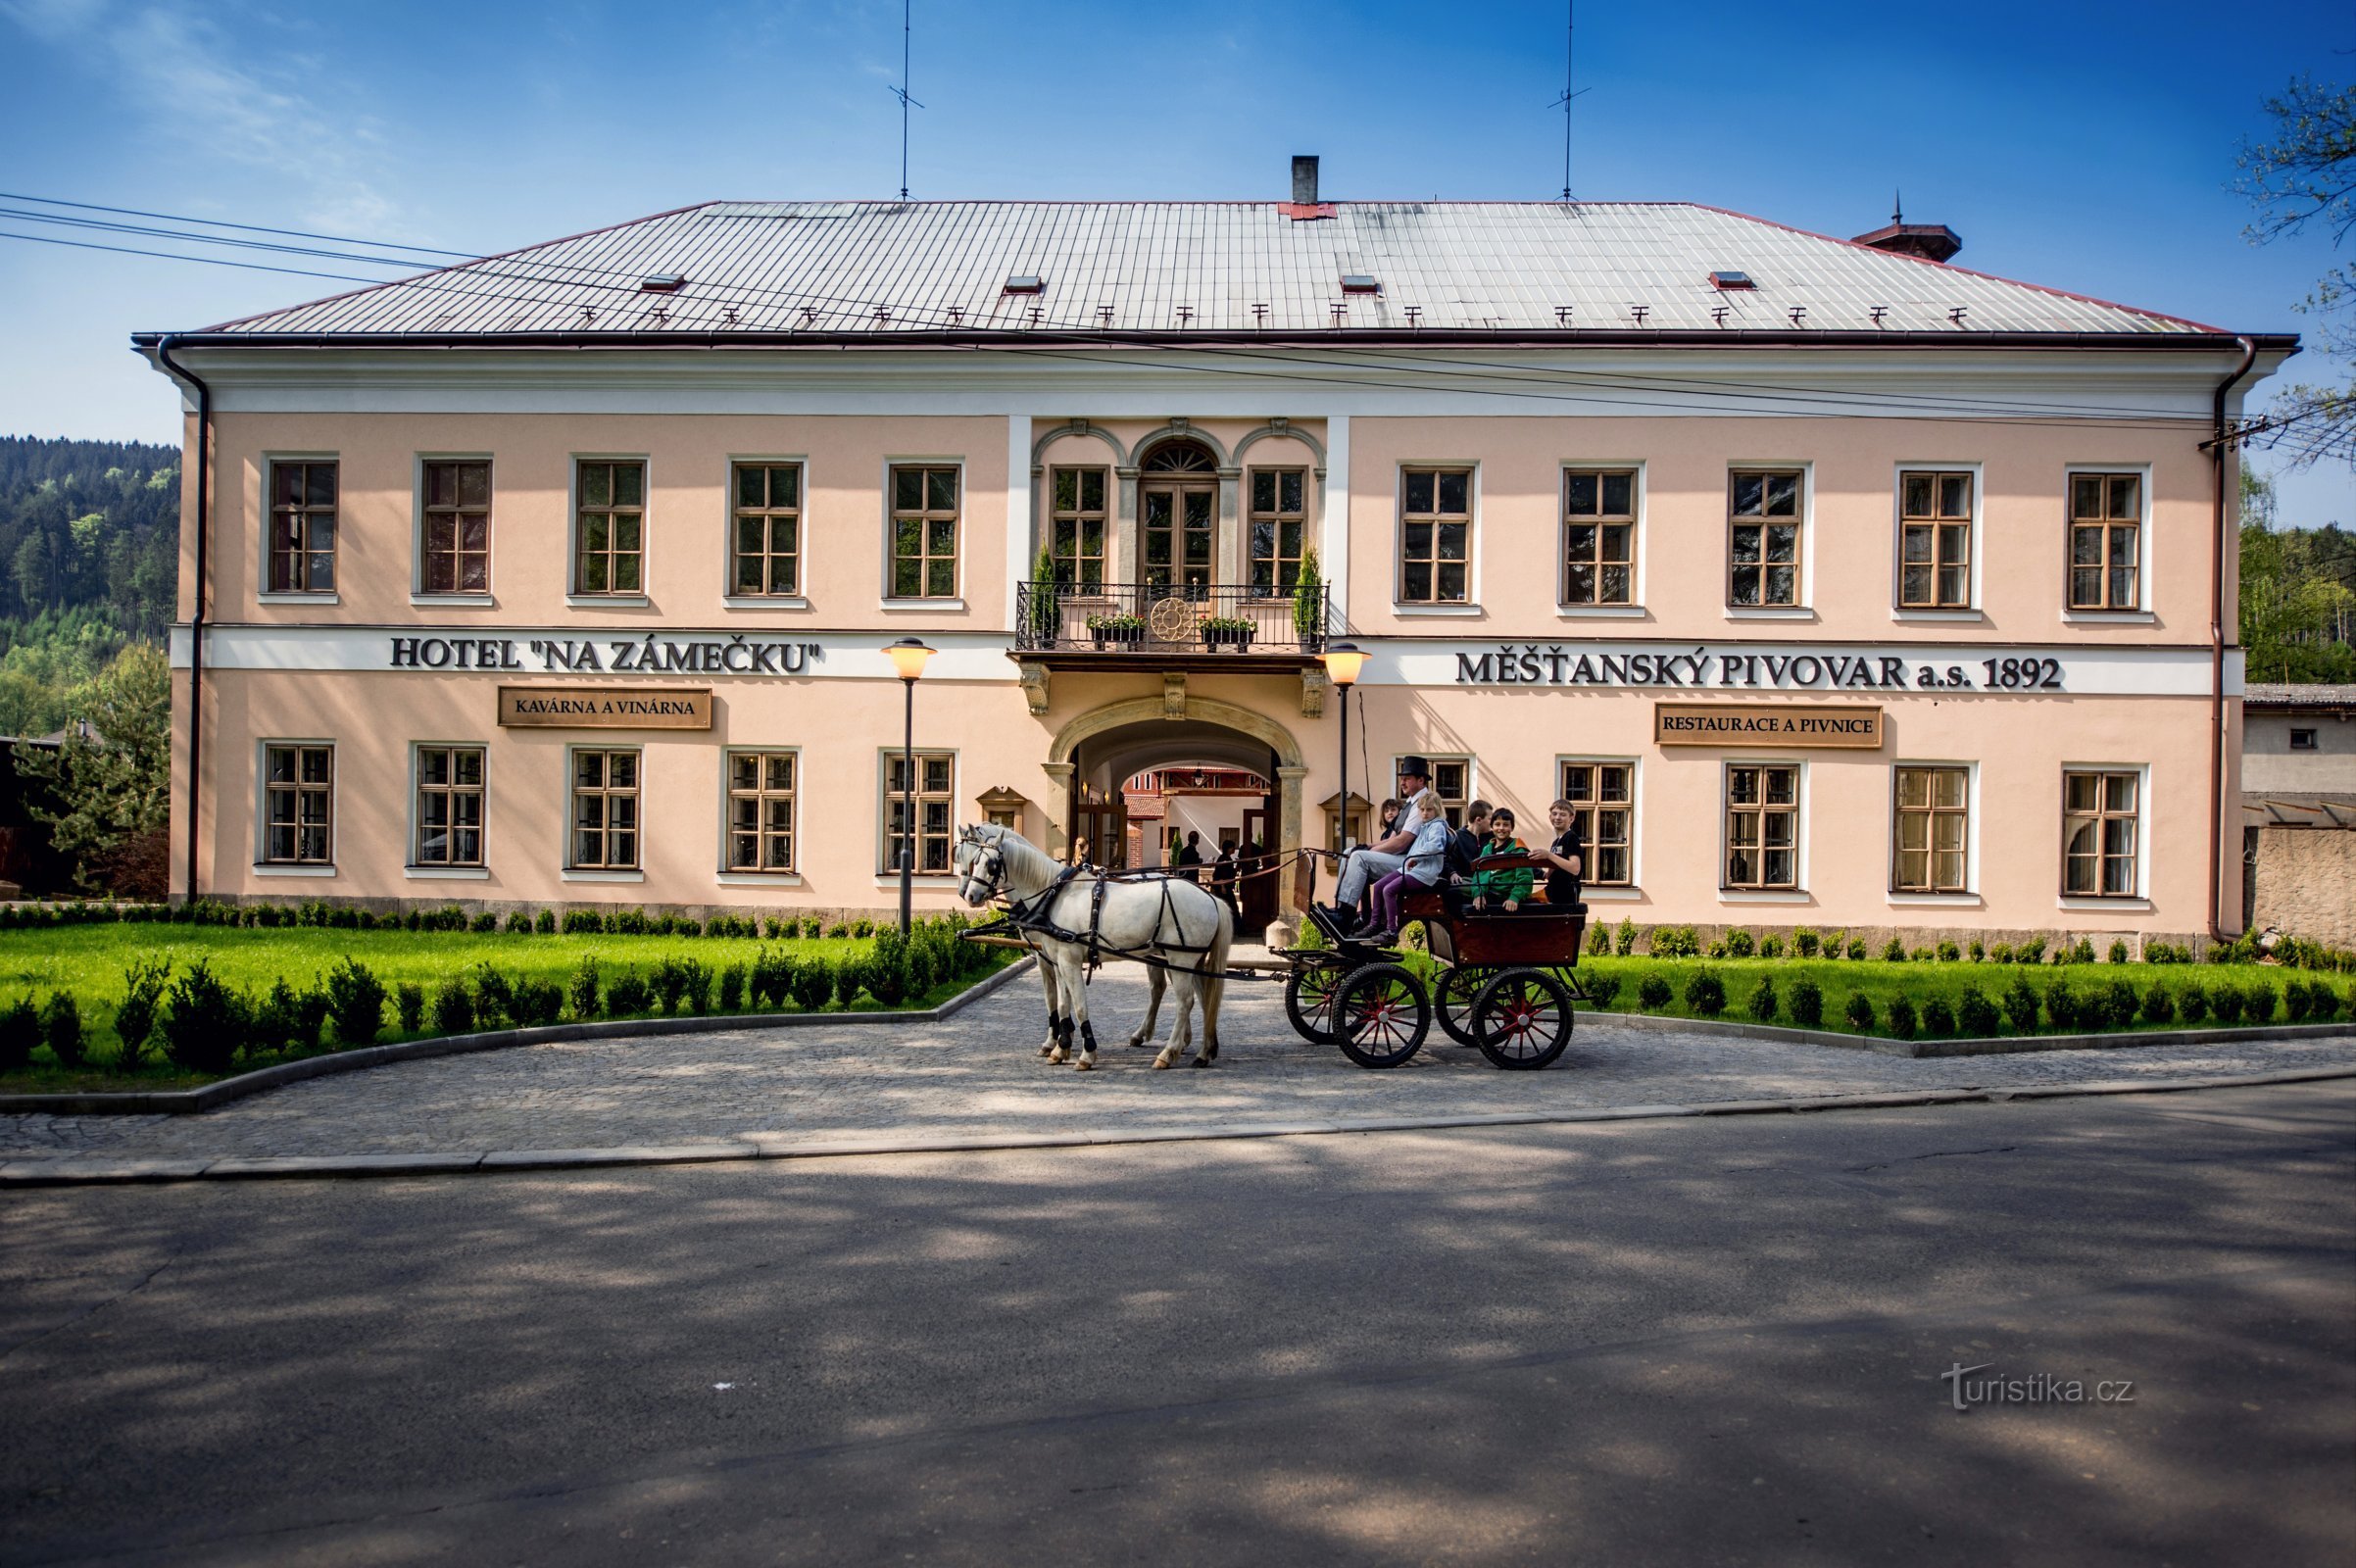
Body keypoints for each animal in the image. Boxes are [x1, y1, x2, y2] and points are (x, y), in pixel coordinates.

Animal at [952, 819, 1234, 1063]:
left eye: (989, 865)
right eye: (969, 859)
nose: (969, 894)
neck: (1053, 893)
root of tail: (1210, 898)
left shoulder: (1065, 959)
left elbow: (1074, 1005)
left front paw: (1083, 1051)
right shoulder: (1056, 959)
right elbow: (1062, 1003)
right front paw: (1061, 1046)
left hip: (1180, 957)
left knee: (1185, 1001)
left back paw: (1169, 1052)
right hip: (1181, 958)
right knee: (1196, 995)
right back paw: (1203, 1048)